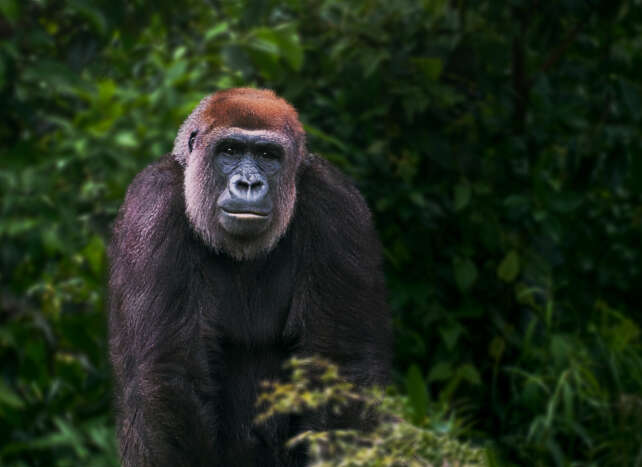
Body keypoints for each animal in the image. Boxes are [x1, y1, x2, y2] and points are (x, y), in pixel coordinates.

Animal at [108, 88, 391, 466]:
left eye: (268, 155)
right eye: (229, 151)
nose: (249, 183)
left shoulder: (337, 203)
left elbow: (342, 367)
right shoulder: (153, 202)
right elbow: (170, 372)